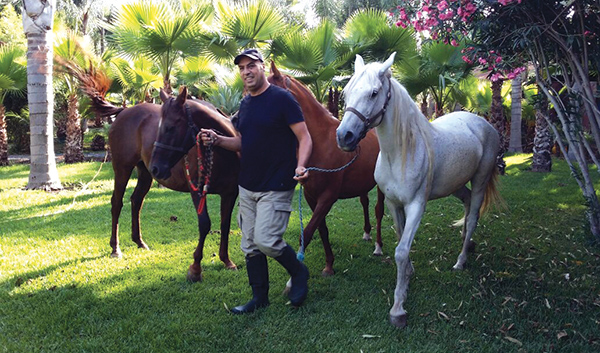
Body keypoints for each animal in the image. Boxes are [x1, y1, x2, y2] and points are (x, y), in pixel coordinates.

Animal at [79, 71, 239, 280]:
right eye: (160, 127)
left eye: (170, 127)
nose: (157, 167)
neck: (222, 152)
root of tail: (123, 112)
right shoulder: (197, 192)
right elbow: (205, 224)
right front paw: (195, 268)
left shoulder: (230, 194)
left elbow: (225, 224)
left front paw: (226, 260)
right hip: (122, 168)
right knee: (116, 203)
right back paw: (115, 248)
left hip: (145, 173)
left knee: (136, 200)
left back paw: (139, 241)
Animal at [268, 61, 384, 276]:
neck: (320, 142)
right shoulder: (311, 196)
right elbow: (321, 230)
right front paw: (329, 264)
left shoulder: (328, 197)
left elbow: (307, 233)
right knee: (364, 202)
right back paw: (366, 233)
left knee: (378, 210)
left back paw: (378, 246)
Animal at [338, 52, 502, 328]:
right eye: (346, 93)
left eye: (373, 93)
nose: (344, 136)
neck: (401, 153)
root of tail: (484, 123)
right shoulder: (394, 204)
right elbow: (400, 237)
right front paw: (408, 276)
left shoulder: (416, 205)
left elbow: (401, 251)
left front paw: (398, 308)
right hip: (456, 185)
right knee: (467, 204)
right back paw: (466, 244)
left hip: (479, 181)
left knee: (473, 218)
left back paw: (461, 261)